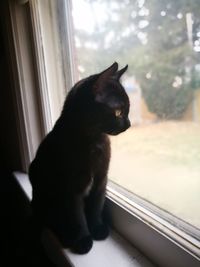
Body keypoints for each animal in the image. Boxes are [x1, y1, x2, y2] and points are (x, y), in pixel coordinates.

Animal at [28, 62, 130, 255]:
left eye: (127, 110)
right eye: (118, 112)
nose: (129, 124)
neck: (94, 142)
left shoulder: (101, 179)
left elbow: (96, 206)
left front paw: (97, 228)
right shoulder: (70, 189)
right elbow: (77, 216)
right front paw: (83, 240)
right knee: (52, 219)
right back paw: (66, 236)